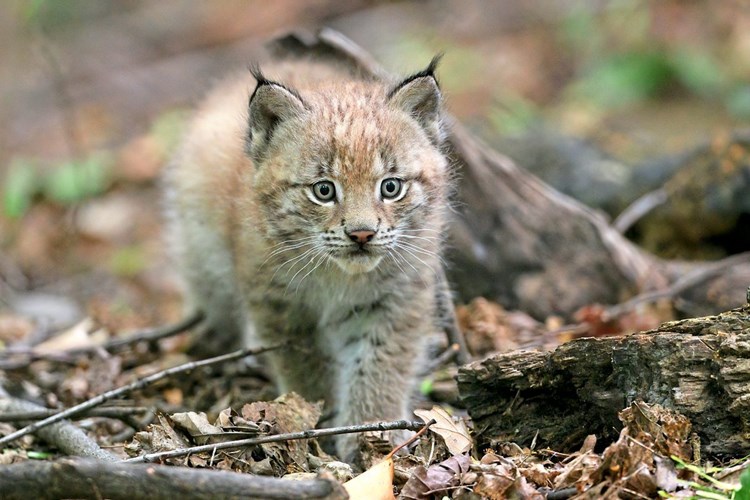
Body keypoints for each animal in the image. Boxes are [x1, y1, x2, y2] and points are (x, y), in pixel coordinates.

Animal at [166, 56, 452, 458]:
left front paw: (373, 435)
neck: (339, 276)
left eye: (391, 187)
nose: (362, 234)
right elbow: (306, 368)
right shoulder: (281, 303)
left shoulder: (398, 295)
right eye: (324, 191)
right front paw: (319, 420)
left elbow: (381, 365)